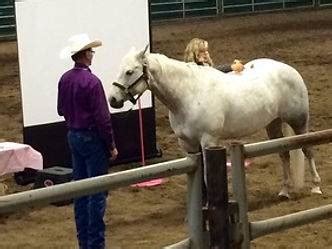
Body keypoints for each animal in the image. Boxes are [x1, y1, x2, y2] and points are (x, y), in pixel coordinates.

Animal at [109, 46, 322, 198]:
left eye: (129, 72)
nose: (112, 99)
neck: (188, 94)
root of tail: (290, 70)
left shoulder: (209, 141)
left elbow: (206, 177)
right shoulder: (188, 144)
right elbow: (196, 176)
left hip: (299, 121)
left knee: (307, 150)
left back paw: (316, 187)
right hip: (273, 123)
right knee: (284, 154)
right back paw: (285, 191)